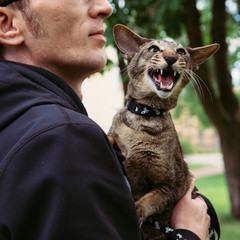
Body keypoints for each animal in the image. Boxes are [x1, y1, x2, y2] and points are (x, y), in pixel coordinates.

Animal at [109, 24, 219, 240]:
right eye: (154, 49)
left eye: (181, 52)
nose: (170, 57)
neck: (144, 115)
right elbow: (111, 137)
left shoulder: (173, 185)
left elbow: (148, 202)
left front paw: (136, 213)